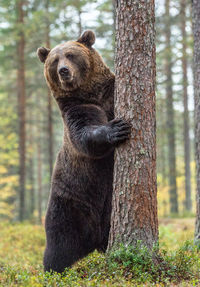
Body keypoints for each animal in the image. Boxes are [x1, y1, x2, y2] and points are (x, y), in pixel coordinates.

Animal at [37, 30, 130, 274]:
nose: (64, 71)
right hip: (68, 202)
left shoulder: (109, 95)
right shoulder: (77, 108)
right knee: (59, 243)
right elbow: (84, 134)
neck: (91, 94)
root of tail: (94, 239)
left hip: (107, 208)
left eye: (70, 54)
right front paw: (115, 129)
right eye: (54, 60)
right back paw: (52, 271)